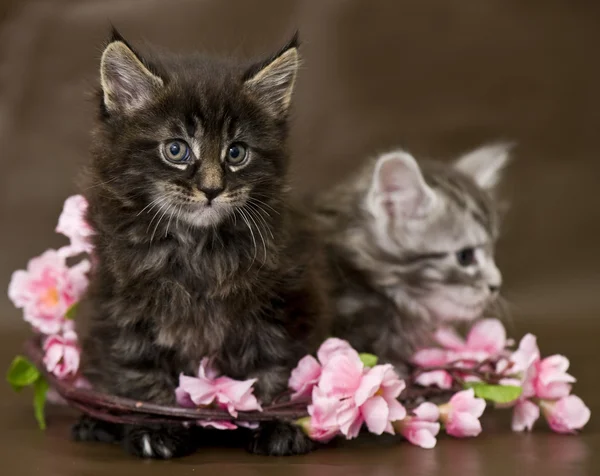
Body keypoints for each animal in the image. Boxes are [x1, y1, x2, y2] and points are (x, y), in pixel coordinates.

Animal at [74, 31, 332, 460]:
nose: (212, 189)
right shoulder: (122, 309)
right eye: (176, 150)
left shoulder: (284, 303)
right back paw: (95, 421)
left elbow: (277, 369)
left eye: (236, 152)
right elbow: (139, 375)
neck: (197, 248)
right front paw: (156, 427)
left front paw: (278, 424)